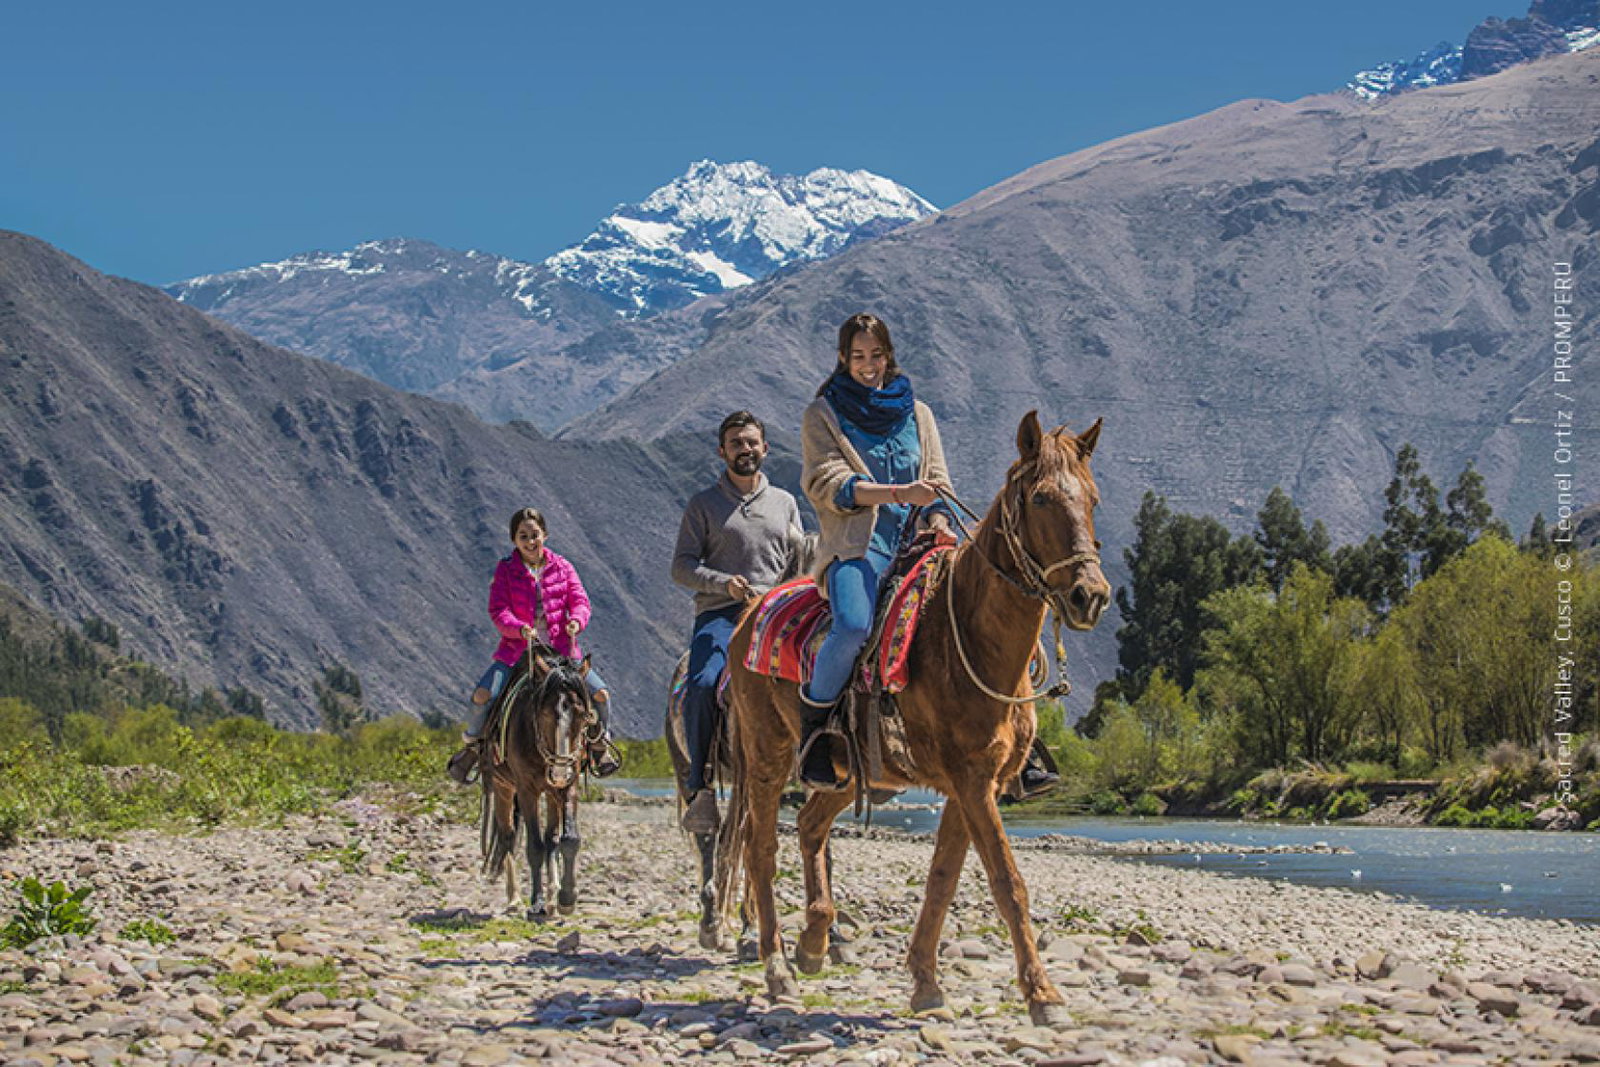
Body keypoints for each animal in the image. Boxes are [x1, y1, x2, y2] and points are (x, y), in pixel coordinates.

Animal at [479, 645, 598, 920]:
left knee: (551, 838)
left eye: (583, 715)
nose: (560, 771)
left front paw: (566, 898)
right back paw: (514, 899)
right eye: (544, 713)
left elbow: (568, 839)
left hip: (552, 793)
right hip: (503, 788)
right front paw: (537, 902)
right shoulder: (526, 790)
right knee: (508, 837)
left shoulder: (569, 787)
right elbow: (534, 846)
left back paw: (553, 898)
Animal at [714, 411, 1110, 1026]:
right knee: (761, 849)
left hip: (850, 772)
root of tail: (748, 615)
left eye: (1091, 498)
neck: (966, 634)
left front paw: (925, 981)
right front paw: (1042, 996)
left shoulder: (975, 783)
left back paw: (814, 943)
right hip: (767, 755)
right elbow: (1007, 880)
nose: (1090, 595)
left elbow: (943, 878)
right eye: (1042, 497)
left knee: (810, 825)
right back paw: (778, 971)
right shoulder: (971, 783)